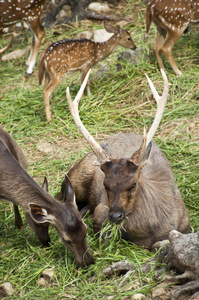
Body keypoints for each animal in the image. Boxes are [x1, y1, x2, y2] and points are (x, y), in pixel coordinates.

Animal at [55, 69, 190, 250]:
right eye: (105, 185)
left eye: (133, 183)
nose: (115, 215)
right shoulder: (101, 212)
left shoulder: (186, 225)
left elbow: (160, 243)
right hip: (77, 176)